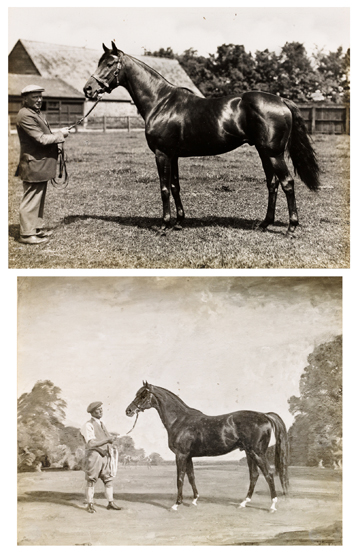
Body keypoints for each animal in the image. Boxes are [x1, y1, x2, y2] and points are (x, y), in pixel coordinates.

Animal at [85, 42, 320, 233]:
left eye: (109, 64)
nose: (88, 89)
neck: (161, 102)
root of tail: (281, 100)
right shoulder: (173, 155)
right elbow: (175, 186)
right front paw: (179, 222)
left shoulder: (162, 154)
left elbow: (163, 188)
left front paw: (165, 225)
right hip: (264, 153)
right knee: (272, 184)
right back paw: (264, 224)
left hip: (274, 154)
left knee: (287, 183)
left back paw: (291, 227)